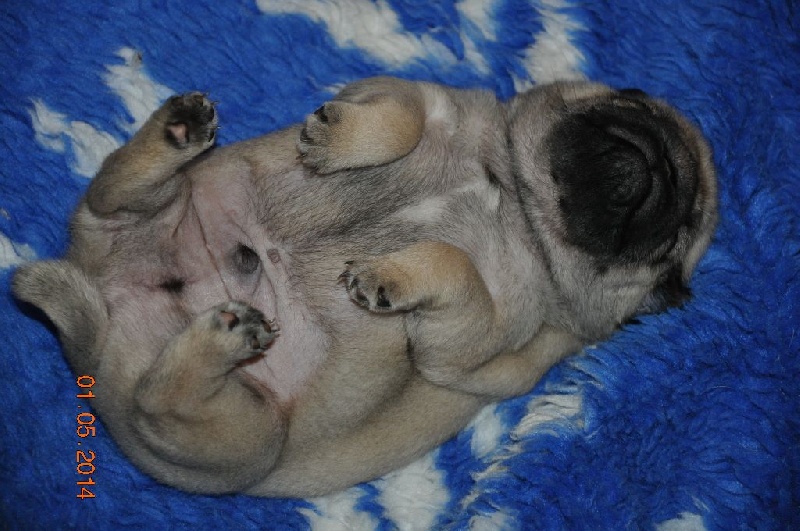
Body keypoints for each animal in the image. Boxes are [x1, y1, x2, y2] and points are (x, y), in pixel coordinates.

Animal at [13, 77, 717, 497]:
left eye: (676, 236)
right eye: (630, 106)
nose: (659, 163)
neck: (514, 196)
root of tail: (103, 316)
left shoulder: (477, 341)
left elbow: (455, 269)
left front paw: (386, 275)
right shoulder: (417, 94)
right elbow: (400, 118)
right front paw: (335, 140)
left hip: (245, 440)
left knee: (160, 400)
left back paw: (226, 333)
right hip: (150, 207)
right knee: (113, 195)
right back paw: (177, 131)